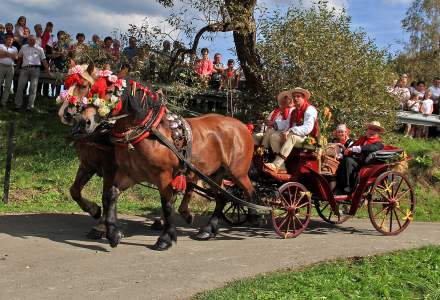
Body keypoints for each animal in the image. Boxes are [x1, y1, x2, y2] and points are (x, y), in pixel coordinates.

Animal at [75, 86, 254, 251]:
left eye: (110, 90)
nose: (84, 122)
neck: (147, 132)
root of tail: (244, 127)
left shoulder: (163, 176)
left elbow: (167, 205)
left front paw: (166, 238)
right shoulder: (129, 174)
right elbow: (110, 195)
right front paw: (113, 233)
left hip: (237, 173)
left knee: (249, 193)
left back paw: (256, 217)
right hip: (214, 175)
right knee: (222, 198)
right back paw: (208, 230)